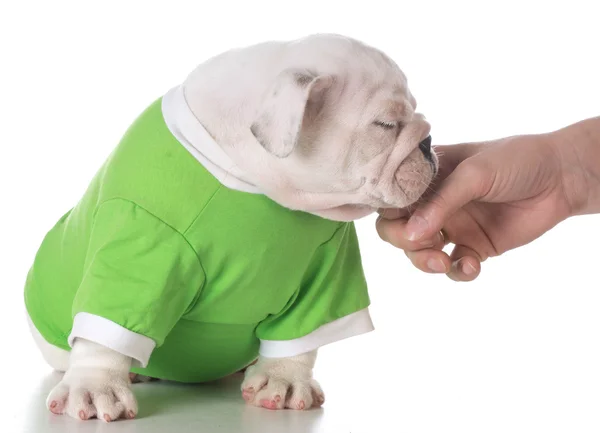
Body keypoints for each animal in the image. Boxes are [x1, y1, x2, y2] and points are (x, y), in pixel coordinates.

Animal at [27, 33, 436, 418]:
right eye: (385, 125)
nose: (429, 142)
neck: (252, 178)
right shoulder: (140, 241)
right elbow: (105, 334)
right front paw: (96, 387)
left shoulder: (327, 267)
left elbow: (299, 340)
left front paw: (285, 380)